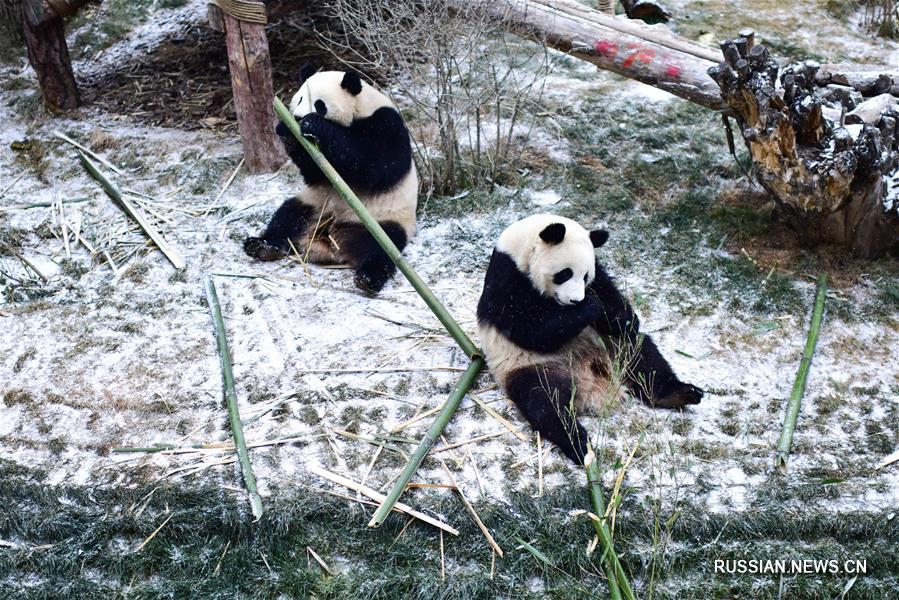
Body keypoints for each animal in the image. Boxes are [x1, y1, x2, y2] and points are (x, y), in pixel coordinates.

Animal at [243, 65, 418, 296]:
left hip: (382, 221)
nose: (297, 117)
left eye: (319, 104)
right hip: (314, 206)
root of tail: (329, 243)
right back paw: (262, 246)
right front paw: (286, 129)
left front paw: (314, 125)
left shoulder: (385, 124)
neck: (359, 109)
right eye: (300, 98)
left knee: (382, 249)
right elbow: (315, 173)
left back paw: (368, 279)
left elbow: (376, 167)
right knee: (288, 217)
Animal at [474, 216, 708, 464]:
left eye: (585, 275)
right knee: (545, 404)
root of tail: (589, 383)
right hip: (532, 368)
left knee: (643, 356)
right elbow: (529, 328)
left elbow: (612, 298)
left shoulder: (598, 271)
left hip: (613, 347)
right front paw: (590, 306)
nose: (576, 300)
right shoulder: (507, 279)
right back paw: (579, 445)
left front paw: (621, 318)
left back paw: (679, 393)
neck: (521, 246)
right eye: (564, 273)